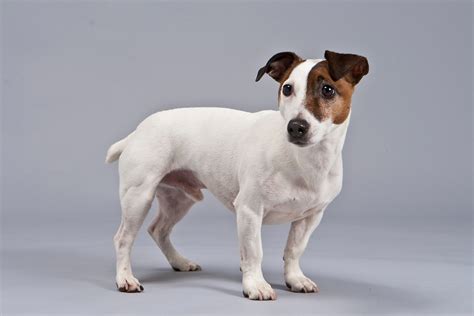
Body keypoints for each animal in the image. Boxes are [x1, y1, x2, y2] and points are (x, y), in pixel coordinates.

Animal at [105, 50, 368, 300]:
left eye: (327, 89)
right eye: (287, 88)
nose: (295, 127)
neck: (304, 160)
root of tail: (137, 132)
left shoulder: (310, 217)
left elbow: (294, 250)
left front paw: (295, 279)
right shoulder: (250, 210)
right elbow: (253, 252)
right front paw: (255, 285)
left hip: (178, 199)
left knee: (158, 230)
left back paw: (179, 262)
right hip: (139, 198)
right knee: (123, 239)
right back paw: (125, 279)